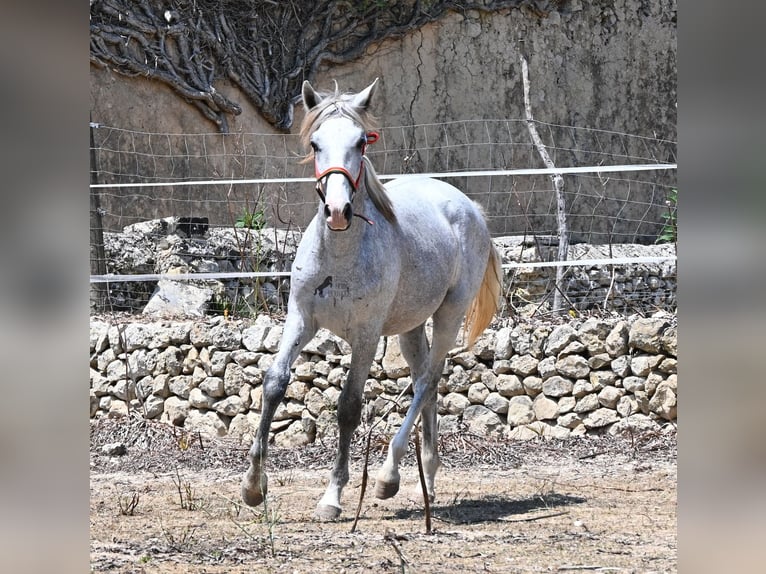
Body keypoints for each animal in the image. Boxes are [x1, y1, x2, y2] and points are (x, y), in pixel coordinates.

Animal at [241, 77, 502, 520]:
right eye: (316, 143)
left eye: (361, 142)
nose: (338, 211)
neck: (339, 257)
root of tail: (468, 207)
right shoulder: (301, 318)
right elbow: (275, 383)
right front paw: (253, 487)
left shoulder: (365, 336)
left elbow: (348, 406)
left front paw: (332, 496)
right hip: (411, 327)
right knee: (425, 380)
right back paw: (428, 478)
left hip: (448, 315)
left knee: (427, 380)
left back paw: (388, 476)